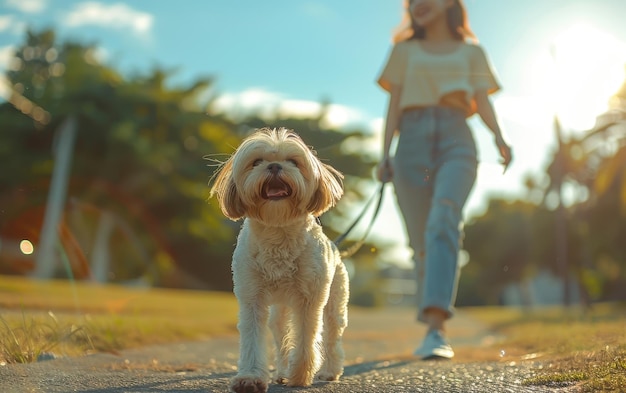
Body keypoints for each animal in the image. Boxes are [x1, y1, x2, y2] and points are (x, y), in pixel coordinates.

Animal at [208, 128, 346, 392]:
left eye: (293, 161)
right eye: (256, 162)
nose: (273, 166)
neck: (277, 231)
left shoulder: (309, 299)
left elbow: (306, 338)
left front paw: (300, 375)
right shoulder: (251, 296)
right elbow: (252, 338)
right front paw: (250, 378)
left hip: (335, 302)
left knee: (332, 336)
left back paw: (329, 371)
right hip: (279, 312)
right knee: (282, 336)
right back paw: (282, 371)